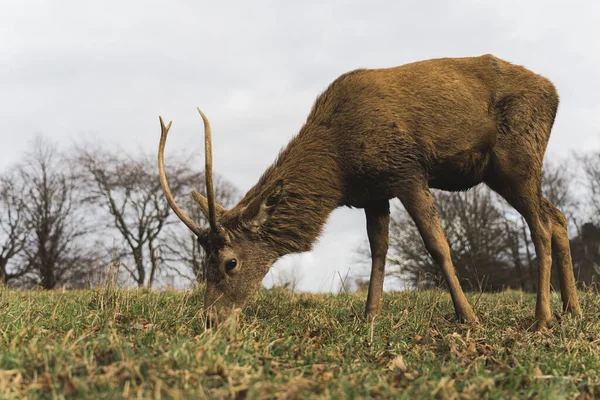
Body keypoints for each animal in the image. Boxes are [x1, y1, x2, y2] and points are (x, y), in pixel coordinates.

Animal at [158, 54, 580, 328]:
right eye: (203, 262)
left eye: (230, 262)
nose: (211, 320)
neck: (340, 166)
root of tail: (556, 94)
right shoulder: (374, 192)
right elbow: (379, 249)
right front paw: (370, 315)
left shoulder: (407, 170)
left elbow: (437, 244)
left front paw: (469, 317)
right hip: (502, 170)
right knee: (558, 216)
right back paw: (571, 309)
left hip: (517, 158)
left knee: (540, 225)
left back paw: (541, 317)